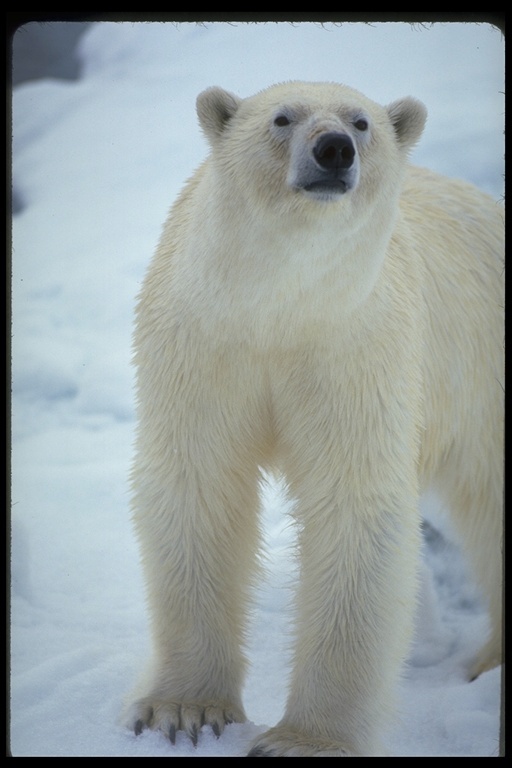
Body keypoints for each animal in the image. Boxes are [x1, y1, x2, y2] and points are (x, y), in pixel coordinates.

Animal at [125, 82, 504, 756]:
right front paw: (184, 710)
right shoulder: (203, 345)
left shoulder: (356, 349)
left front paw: (303, 739)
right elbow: (200, 486)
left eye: (362, 121)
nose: (334, 149)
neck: (279, 308)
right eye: (282, 118)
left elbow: (352, 507)